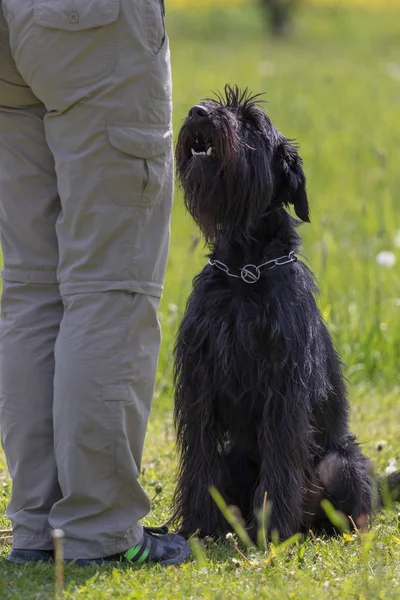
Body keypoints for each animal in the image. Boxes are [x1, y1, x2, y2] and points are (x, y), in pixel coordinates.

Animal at [171, 84, 396, 540]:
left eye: (251, 122)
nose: (198, 112)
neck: (245, 269)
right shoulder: (199, 380)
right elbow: (199, 459)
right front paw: (200, 525)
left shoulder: (283, 387)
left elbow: (279, 461)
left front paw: (271, 528)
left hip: (340, 464)